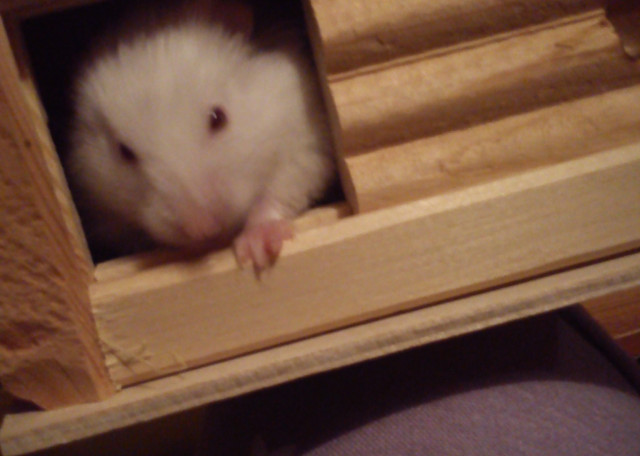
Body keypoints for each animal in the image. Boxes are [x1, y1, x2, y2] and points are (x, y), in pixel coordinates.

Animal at [67, 0, 334, 270]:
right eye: (125, 152)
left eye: (218, 118)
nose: (205, 230)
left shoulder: (303, 140)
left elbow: (275, 194)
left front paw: (257, 253)